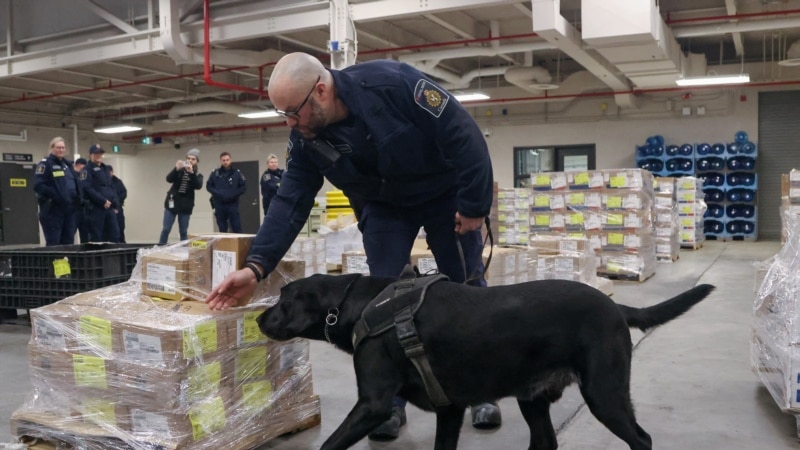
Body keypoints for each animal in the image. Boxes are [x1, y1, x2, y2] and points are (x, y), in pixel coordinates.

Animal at [260, 274, 716, 450]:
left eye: (281, 299)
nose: (259, 318)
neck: (360, 304)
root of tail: (616, 306)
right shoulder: (449, 408)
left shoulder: (371, 404)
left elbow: (330, 443)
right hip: (533, 399)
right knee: (545, 441)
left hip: (605, 394)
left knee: (642, 439)